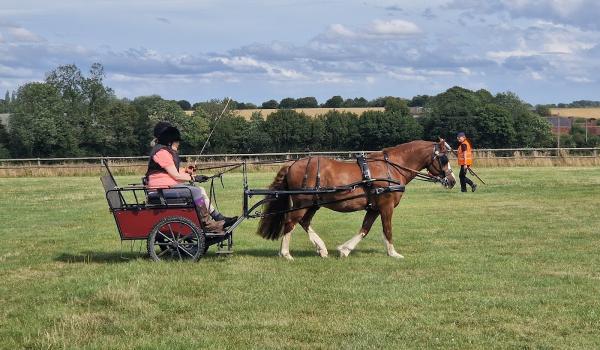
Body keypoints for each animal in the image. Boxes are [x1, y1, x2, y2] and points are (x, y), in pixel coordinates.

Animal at [255, 140, 458, 260]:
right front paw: (393, 253)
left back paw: (321, 249)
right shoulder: (386, 206)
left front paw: (344, 249)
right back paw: (286, 253)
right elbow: (387, 229)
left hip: (314, 204)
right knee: (290, 223)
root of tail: (292, 164)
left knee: (304, 222)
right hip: (302, 203)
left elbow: (364, 229)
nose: (452, 180)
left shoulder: (373, 208)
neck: (392, 168)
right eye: (444, 159)